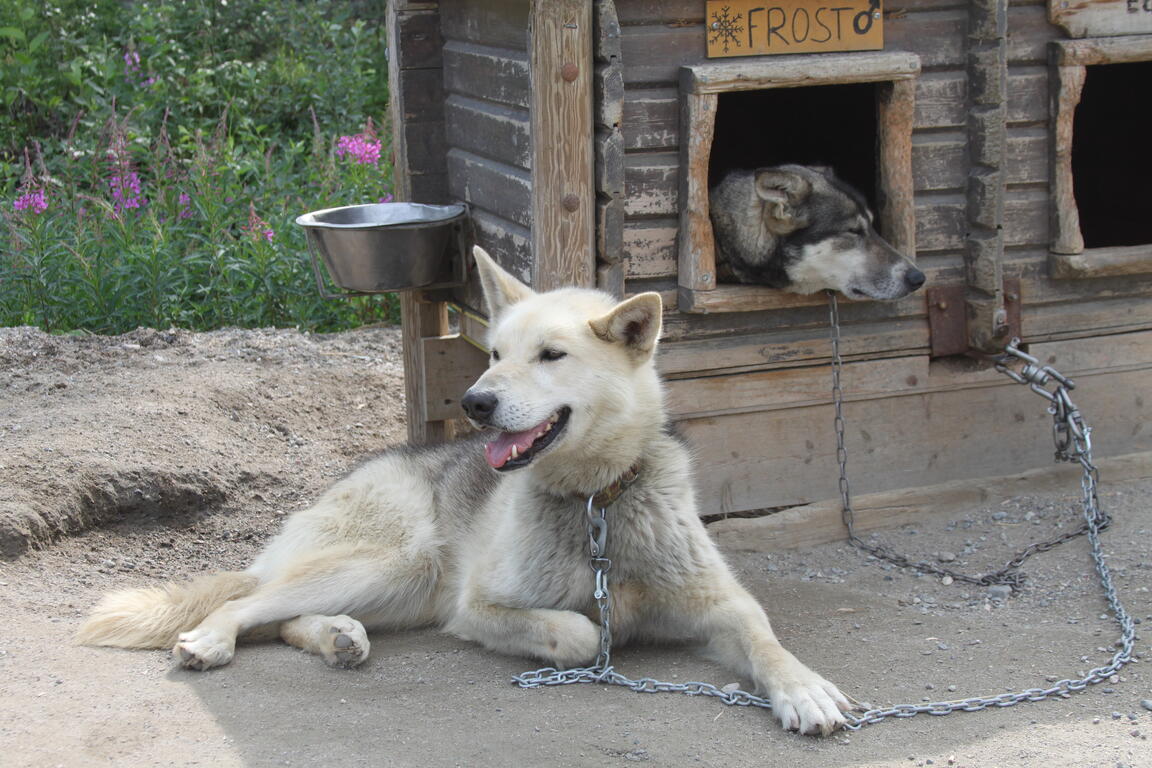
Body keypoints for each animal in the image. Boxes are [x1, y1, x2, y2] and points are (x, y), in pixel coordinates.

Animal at [81, 249, 852, 736]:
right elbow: (577, 631)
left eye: (551, 356)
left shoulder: (723, 604)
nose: (476, 402)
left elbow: (767, 641)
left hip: (400, 590)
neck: (596, 505)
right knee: (248, 603)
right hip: (400, 565)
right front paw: (589, 633)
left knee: (282, 617)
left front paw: (804, 688)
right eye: (494, 354)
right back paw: (215, 639)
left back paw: (337, 638)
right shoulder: (477, 607)